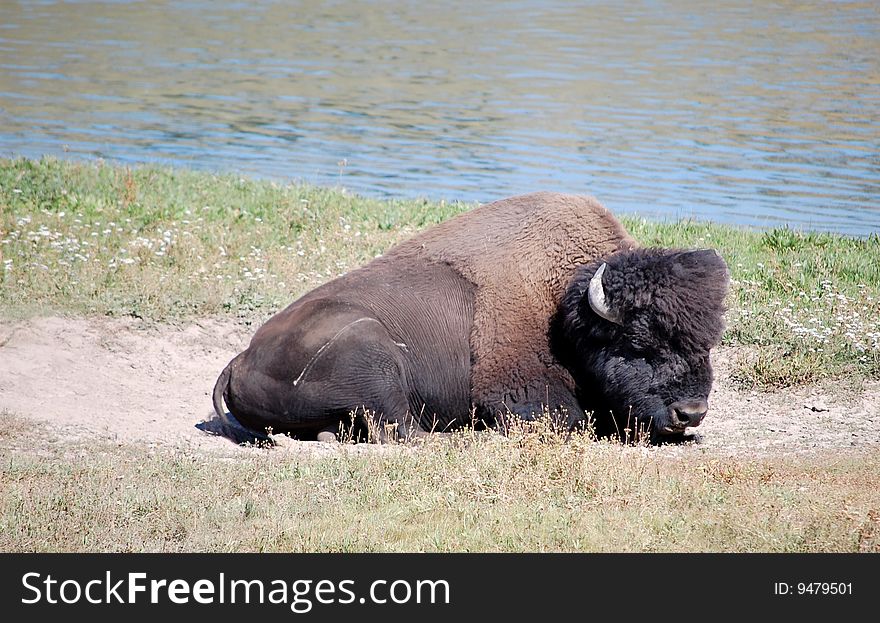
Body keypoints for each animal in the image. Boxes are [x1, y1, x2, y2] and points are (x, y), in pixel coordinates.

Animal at [213, 193, 728, 442]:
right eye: (638, 344)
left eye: (707, 344)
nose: (690, 413)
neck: (564, 306)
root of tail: (239, 359)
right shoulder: (520, 396)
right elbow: (571, 420)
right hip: (372, 354)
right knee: (401, 431)